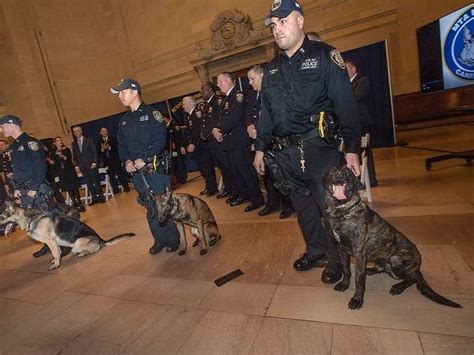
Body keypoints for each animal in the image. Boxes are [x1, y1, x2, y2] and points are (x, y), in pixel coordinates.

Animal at [0, 202, 135, 272]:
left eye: (2, 217)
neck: (30, 219)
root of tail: (101, 240)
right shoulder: (54, 242)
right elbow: (58, 252)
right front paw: (56, 261)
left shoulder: (50, 241)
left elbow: (55, 253)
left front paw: (56, 265)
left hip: (78, 243)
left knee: (92, 250)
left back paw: (82, 253)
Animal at [324, 165, 462, 310]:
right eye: (332, 170)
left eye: (348, 171)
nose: (340, 174)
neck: (342, 210)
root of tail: (417, 268)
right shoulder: (341, 250)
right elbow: (346, 270)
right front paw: (344, 285)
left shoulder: (359, 254)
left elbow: (359, 280)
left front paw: (357, 299)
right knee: (383, 269)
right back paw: (370, 270)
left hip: (396, 259)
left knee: (413, 279)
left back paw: (398, 287)